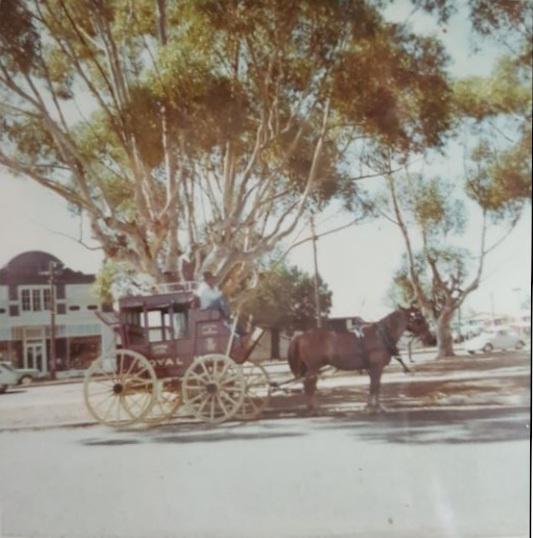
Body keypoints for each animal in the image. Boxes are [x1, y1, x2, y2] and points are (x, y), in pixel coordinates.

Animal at [286, 304, 432, 412]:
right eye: (419, 319)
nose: (431, 338)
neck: (381, 335)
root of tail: (301, 335)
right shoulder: (376, 367)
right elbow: (375, 386)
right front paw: (375, 407)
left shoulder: (373, 368)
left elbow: (374, 386)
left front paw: (371, 405)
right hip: (313, 367)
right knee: (308, 385)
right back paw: (313, 407)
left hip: (310, 368)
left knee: (309, 385)